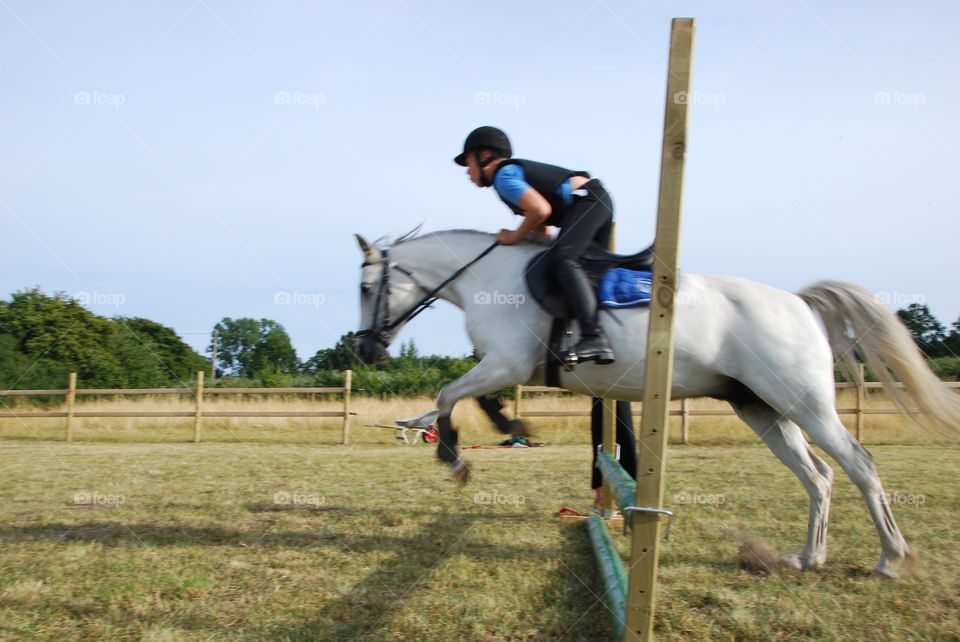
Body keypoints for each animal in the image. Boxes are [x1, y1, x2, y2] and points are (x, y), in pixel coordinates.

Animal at [353, 229, 960, 578]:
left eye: (363, 287)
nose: (363, 349)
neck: (487, 275)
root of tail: (799, 303)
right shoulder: (502, 367)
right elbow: (469, 398)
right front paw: (502, 425)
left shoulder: (505, 362)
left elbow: (448, 395)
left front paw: (453, 456)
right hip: (761, 408)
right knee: (818, 476)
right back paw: (808, 557)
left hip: (802, 402)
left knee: (858, 465)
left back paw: (890, 558)